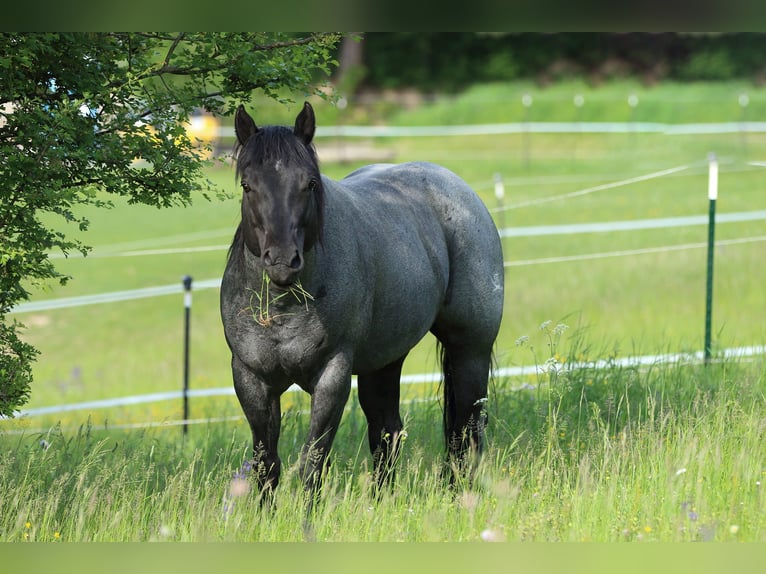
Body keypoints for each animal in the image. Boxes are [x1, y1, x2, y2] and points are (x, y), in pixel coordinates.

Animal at [219, 100, 508, 500]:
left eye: (309, 183)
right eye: (248, 185)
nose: (281, 261)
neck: (281, 311)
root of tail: (459, 189)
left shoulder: (332, 377)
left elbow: (312, 462)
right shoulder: (251, 380)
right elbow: (267, 466)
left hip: (471, 351)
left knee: (464, 431)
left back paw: (457, 496)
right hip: (383, 362)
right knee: (388, 432)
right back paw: (381, 502)